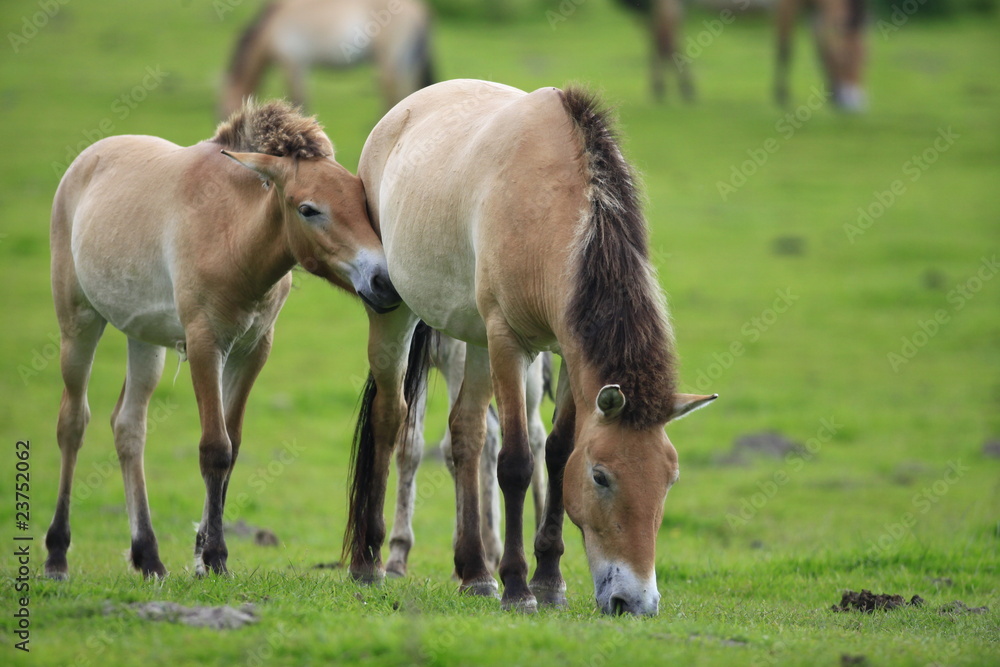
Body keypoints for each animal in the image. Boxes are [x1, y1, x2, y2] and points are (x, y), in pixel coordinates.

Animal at [45, 98, 400, 580]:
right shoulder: (204, 344)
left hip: (145, 340)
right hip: (78, 324)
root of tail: (86, 160)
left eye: (363, 202)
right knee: (73, 422)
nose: (384, 282)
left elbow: (233, 445)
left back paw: (149, 556)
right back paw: (57, 554)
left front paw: (203, 553)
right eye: (309, 209)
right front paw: (214, 556)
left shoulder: (252, 351)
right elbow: (215, 448)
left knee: (128, 426)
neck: (231, 233)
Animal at [221, 0, 432, 118]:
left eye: (221, 108)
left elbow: (298, 99)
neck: (272, 27)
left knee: (393, 93)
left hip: (390, 61)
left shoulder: (293, 64)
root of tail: (418, 9)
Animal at [346, 79, 720, 616]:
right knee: (390, 418)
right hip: (396, 313)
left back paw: (475, 572)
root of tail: (400, 112)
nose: (637, 602)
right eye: (601, 476)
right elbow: (518, 463)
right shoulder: (508, 341)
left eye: (670, 478)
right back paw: (371, 562)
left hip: (474, 339)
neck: (554, 211)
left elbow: (557, 454)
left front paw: (549, 581)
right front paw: (519, 588)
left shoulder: (565, 355)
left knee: (466, 434)